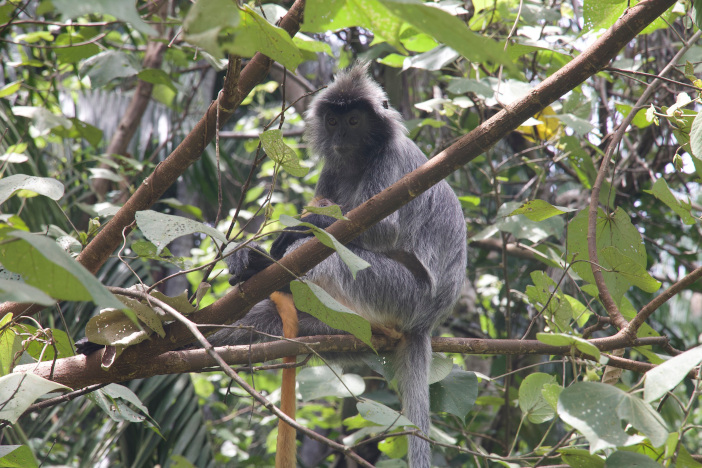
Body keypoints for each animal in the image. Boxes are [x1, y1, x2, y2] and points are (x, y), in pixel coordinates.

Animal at [214, 63, 468, 468]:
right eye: (332, 122)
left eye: (353, 121)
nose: (340, 138)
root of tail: (425, 323)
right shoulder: (333, 169)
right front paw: (253, 255)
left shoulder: (392, 159)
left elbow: (382, 229)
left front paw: (298, 229)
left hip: (399, 293)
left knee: (332, 259)